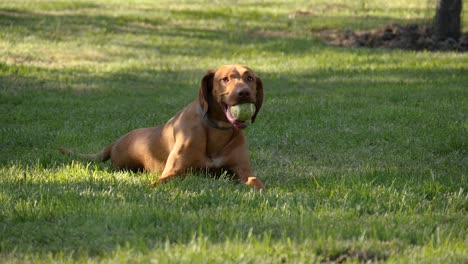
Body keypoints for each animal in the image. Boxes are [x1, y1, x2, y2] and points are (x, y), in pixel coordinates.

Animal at [59, 65, 264, 190]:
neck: (217, 131)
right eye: (225, 79)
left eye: (250, 78)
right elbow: (162, 181)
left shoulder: (243, 171)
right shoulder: (174, 172)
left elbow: (255, 181)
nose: (244, 93)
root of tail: (114, 143)